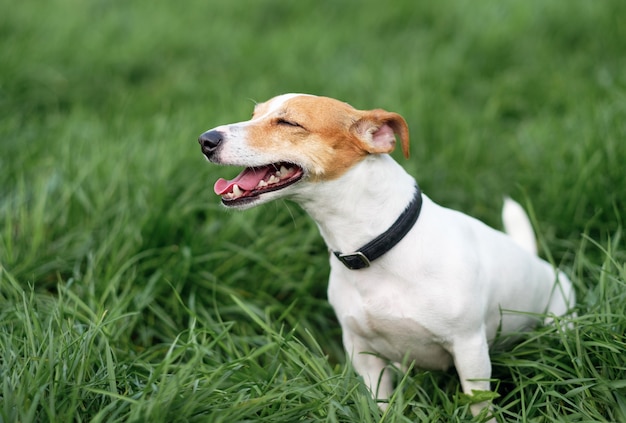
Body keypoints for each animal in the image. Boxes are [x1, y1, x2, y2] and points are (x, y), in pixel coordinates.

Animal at [196, 93, 576, 418]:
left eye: (289, 123)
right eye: (254, 115)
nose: (205, 140)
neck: (375, 248)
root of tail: (537, 260)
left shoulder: (470, 350)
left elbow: (480, 406)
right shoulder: (363, 353)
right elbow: (379, 402)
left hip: (559, 322)